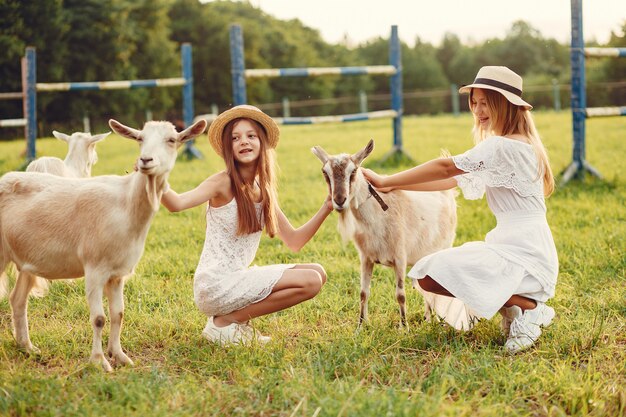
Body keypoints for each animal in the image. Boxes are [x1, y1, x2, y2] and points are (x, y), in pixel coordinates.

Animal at [1, 118, 208, 370]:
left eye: (171, 140)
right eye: (140, 139)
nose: (145, 160)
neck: (126, 204)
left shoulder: (118, 273)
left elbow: (118, 313)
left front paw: (119, 355)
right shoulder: (94, 268)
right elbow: (99, 318)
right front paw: (99, 361)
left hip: (26, 260)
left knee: (18, 300)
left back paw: (28, 347)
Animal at [310, 140, 466, 328]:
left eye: (353, 171)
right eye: (325, 172)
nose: (339, 200)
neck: (377, 216)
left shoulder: (400, 256)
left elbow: (400, 294)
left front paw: (404, 327)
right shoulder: (366, 257)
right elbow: (363, 293)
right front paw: (360, 326)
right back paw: (428, 318)